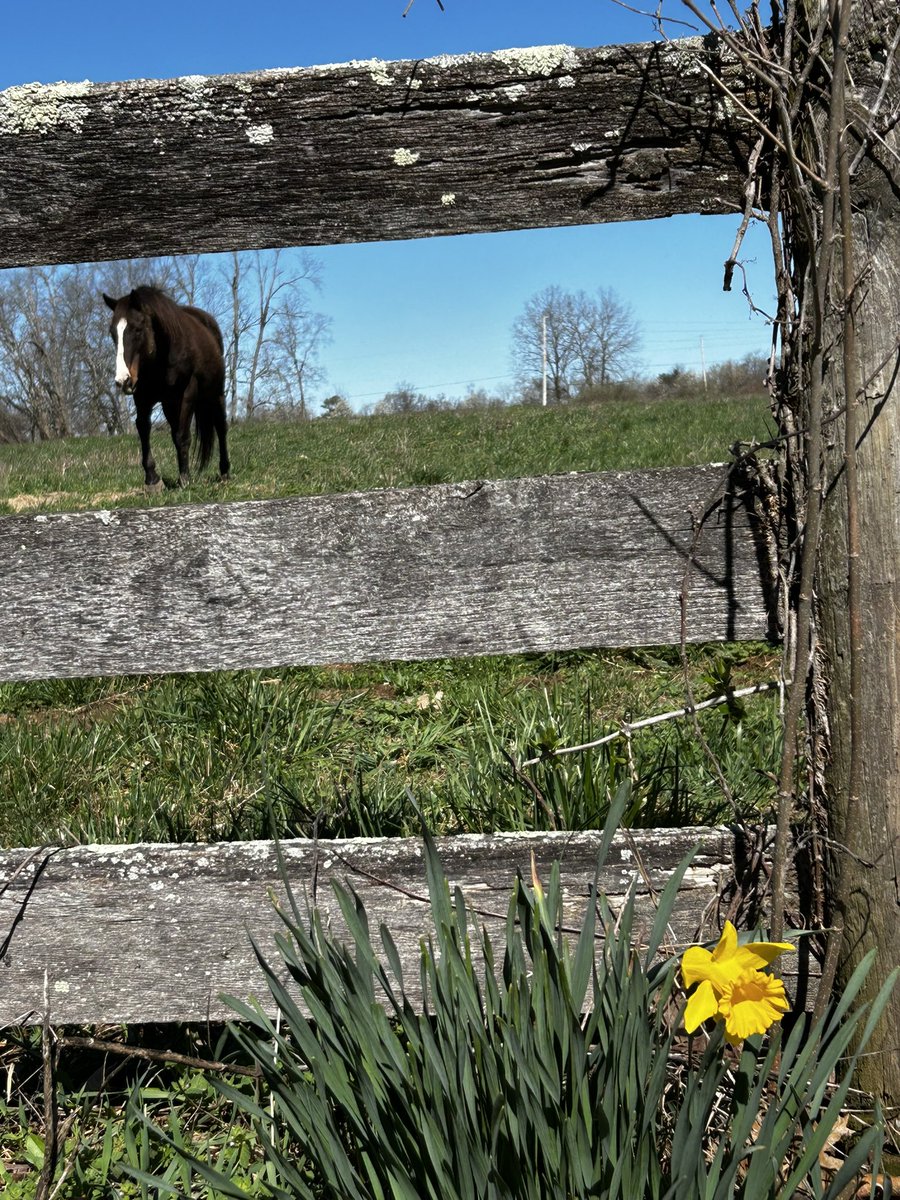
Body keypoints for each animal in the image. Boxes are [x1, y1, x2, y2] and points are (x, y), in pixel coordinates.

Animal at [103, 286, 230, 488]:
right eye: (113, 333)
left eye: (137, 329)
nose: (123, 380)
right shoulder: (143, 396)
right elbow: (144, 429)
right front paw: (152, 478)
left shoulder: (187, 393)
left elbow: (182, 436)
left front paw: (184, 478)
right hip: (170, 404)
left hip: (215, 393)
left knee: (221, 426)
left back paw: (224, 471)